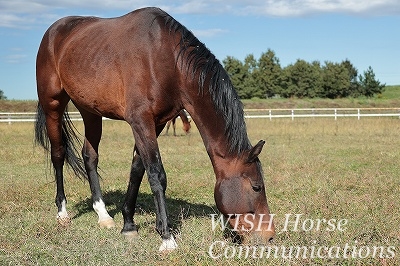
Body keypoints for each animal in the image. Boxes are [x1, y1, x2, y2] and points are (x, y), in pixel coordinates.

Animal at [34, 6, 276, 251]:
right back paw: (62, 213)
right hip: (52, 104)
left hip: (90, 111)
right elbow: (157, 175)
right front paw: (167, 238)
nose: (269, 236)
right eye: (257, 187)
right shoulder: (141, 121)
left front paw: (129, 224)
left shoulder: (156, 123)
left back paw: (103, 215)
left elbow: (138, 169)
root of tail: (53, 31)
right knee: (58, 154)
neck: (166, 60)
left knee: (90, 157)